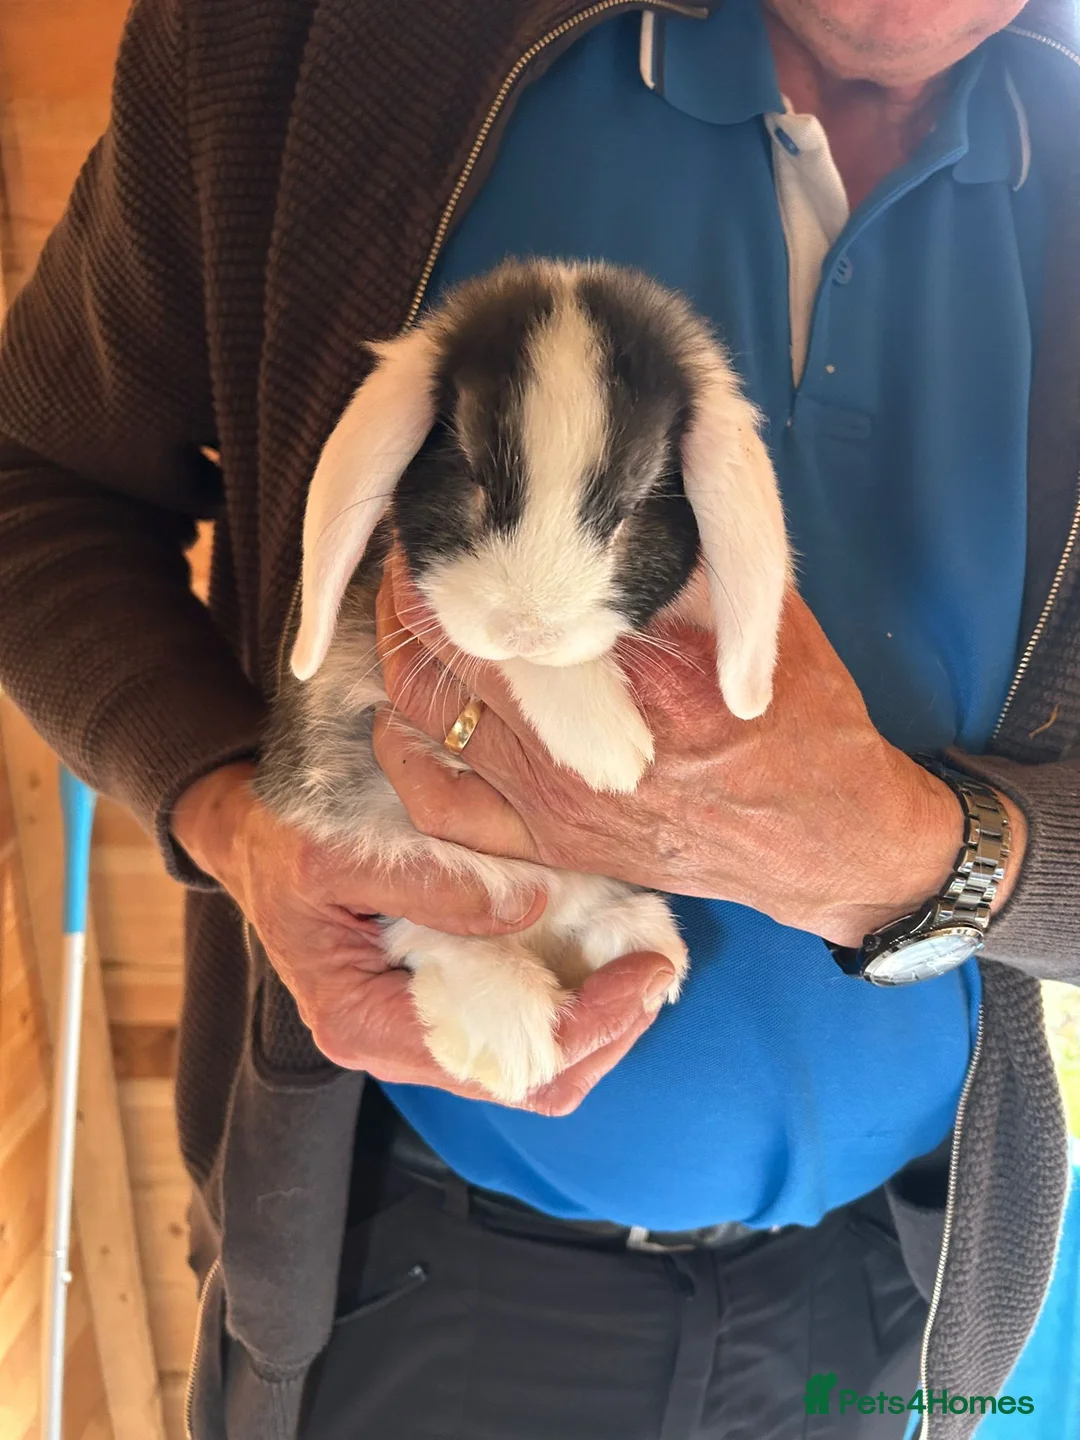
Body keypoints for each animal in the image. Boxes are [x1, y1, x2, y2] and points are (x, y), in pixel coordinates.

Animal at [256, 259, 791, 1104]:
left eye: (631, 509)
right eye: (472, 475)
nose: (529, 626)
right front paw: (609, 748)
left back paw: (637, 939)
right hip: (373, 813)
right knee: (427, 909)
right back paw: (508, 1026)